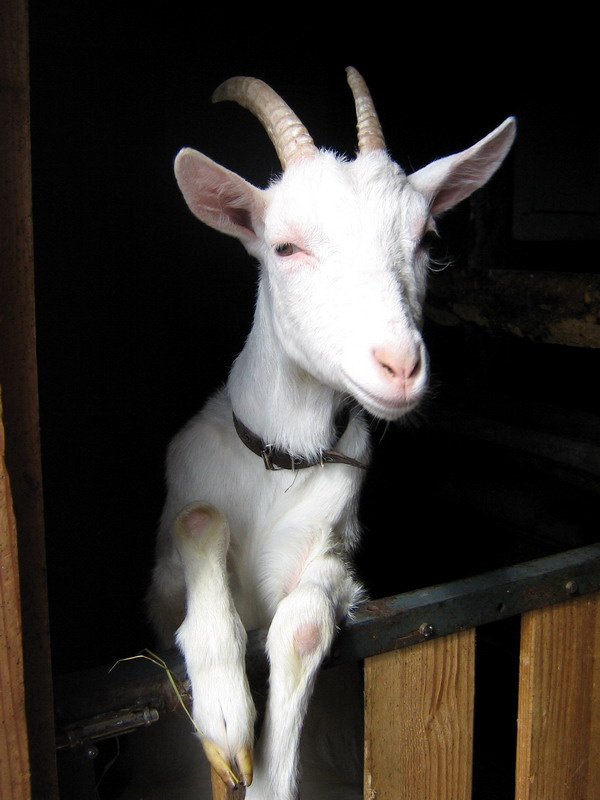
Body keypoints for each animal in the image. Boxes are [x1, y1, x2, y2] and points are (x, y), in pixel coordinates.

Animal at [146, 67, 515, 800]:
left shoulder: (338, 560)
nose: (399, 365)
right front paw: (224, 712)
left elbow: (304, 624)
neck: (277, 462)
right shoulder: (156, 593)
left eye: (425, 239)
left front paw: (265, 773)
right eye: (286, 246)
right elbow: (199, 520)